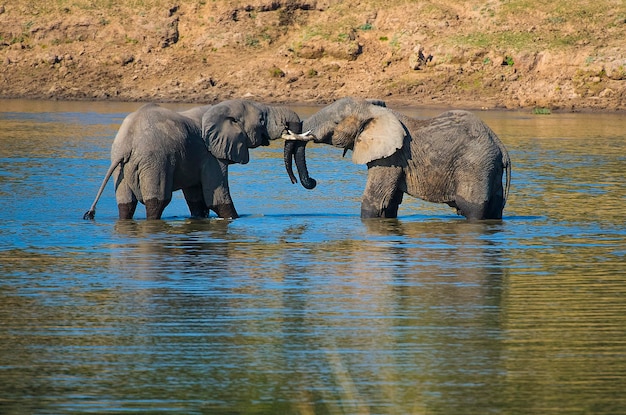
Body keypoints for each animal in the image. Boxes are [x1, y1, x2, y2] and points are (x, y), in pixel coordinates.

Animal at [83, 100, 308, 221]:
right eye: (262, 119)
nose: (303, 182)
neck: (222, 107)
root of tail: (127, 143)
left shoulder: (195, 157)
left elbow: (197, 201)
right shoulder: (211, 155)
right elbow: (217, 199)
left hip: (121, 167)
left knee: (126, 205)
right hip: (155, 162)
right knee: (157, 202)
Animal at [286, 97, 510, 221]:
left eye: (335, 123)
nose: (312, 181)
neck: (374, 110)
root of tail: (501, 147)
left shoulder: (390, 157)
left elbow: (376, 200)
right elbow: (390, 203)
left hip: (475, 165)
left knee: (472, 208)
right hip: (490, 167)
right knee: (494, 208)